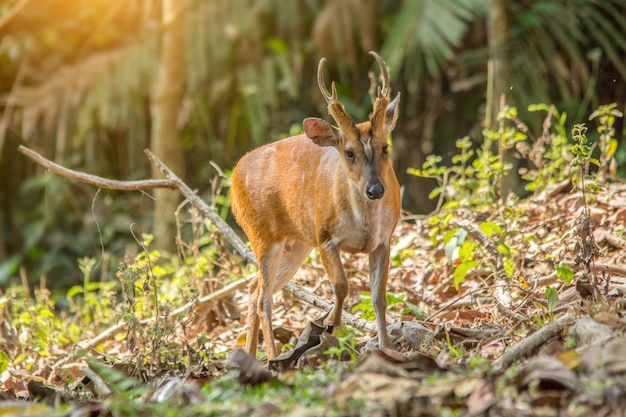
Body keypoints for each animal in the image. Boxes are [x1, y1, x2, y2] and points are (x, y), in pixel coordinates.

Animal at [229, 51, 400, 358]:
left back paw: (249, 354)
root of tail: (234, 176)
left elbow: (379, 297)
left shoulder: (383, 240)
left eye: (385, 147)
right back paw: (272, 357)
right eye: (349, 153)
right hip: (262, 235)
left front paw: (386, 348)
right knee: (263, 297)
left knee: (253, 288)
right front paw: (331, 324)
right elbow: (341, 285)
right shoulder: (324, 236)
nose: (375, 189)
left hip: (295, 244)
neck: (364, 225)